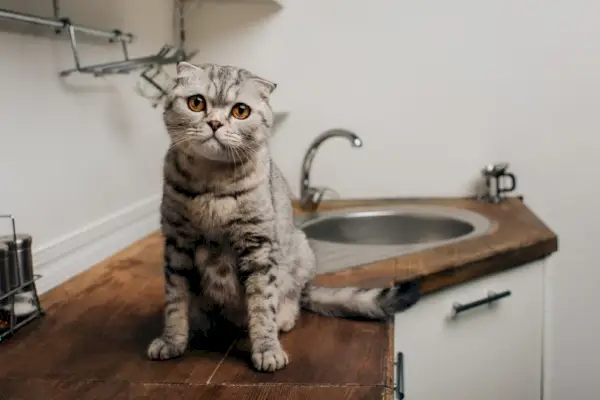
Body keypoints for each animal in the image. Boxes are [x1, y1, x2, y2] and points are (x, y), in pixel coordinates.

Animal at [147, 61, 420, 374]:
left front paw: (267, 349)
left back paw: (282, 318)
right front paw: (172, 340)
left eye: (240, 111)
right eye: (196, 103)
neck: (211, 186)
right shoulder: (177, 243)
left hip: (300, 252)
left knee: (292, 298)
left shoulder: (258, 247)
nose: (215, 123)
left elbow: (262, 305)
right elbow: (175, 300)